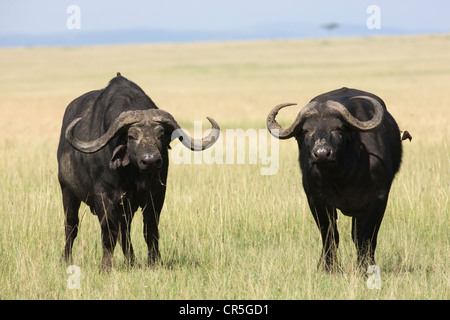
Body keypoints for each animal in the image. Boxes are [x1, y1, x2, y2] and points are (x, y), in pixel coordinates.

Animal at [58, 73, 220, 270]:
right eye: (131, 136)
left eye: (161, 134)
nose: (150, 160)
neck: (133, 175)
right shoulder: (103, 195)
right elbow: (108, 232)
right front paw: (106, 266)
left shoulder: (156, 194)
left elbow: (150, 230)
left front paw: (154, 262)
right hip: (67, 190)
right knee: (71, 226)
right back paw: (66, 259)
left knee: (125, 231)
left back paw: (131, 261)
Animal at [268, 87, 412, 272]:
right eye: (306, 131)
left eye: (338, 128)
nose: (322, 153)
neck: (342, 178)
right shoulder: (316, 200)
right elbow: (329, 234)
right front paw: (328, 267)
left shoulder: (378, 199)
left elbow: (366, 237)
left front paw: (365, 266)